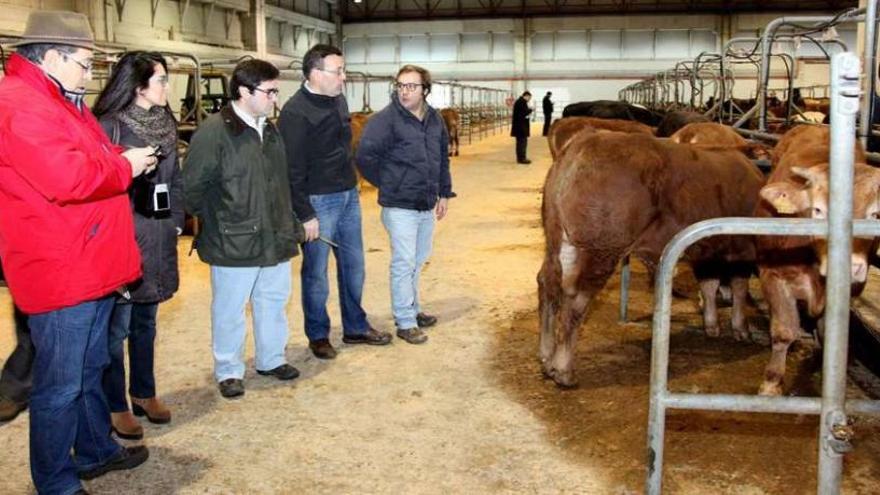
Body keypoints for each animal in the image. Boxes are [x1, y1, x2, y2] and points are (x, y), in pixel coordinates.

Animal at [532, 132, 768, 388]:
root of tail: (585, 142)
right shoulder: (741, 248)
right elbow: (739, 286)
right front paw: (741, 329)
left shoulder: (708, 251)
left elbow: (709, 284)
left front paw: (712, 326)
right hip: (600, 248)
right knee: (576, 297)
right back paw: (563, 371)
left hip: (557, 237)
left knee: (548, 283)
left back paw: (546, 358)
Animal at [752, 127, 876, 396]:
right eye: (818, 210)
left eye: (875, 214)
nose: (851, 266)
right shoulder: (772, 275)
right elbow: (783, 330)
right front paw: (771, 383)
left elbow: (831, 331)